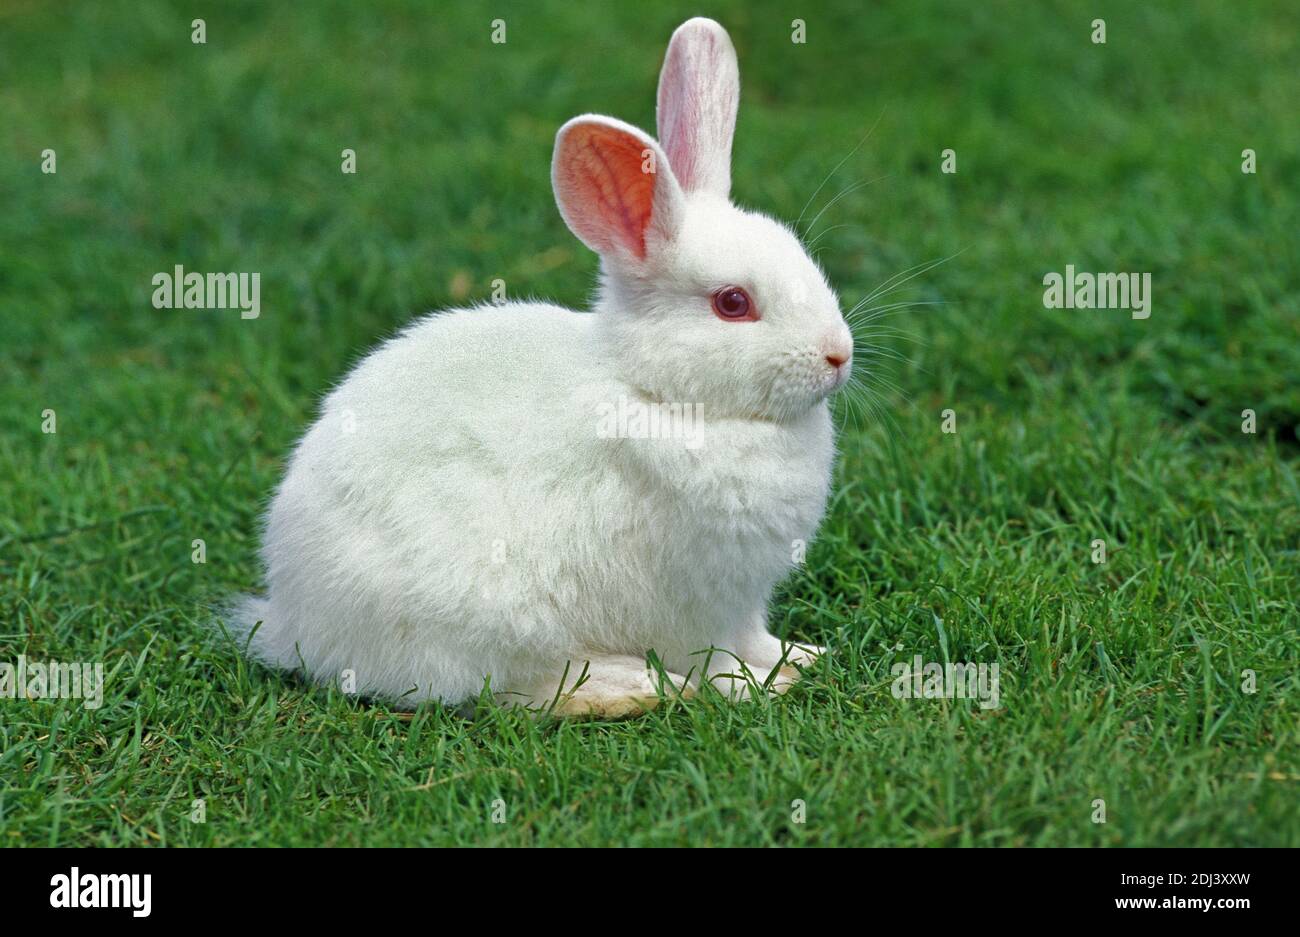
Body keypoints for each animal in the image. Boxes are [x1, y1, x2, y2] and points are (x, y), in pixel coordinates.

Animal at [229, 17, 854, 717]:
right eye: (733, 304)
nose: (839, 355)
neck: (655, 391)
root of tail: (294, 622)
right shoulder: (693, 605)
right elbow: (714, 655)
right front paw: (752, 686)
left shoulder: (743, 602)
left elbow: (754, 636)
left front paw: (799, 657)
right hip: (487, 616)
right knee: (520, 686)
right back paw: (629, 688)